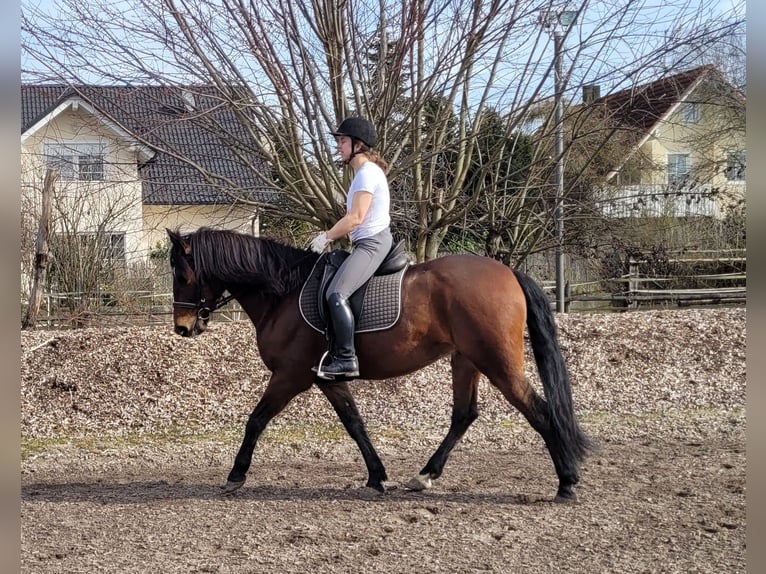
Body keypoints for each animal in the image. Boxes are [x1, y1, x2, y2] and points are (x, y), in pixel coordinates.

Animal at [171, 227, 596, 502]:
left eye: (183, 274)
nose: (182, 328)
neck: (283, 293)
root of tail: (507, 271)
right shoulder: (326, 377)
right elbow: (354, 423)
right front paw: (377, 476)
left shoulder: (289, 376)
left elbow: (256, 419)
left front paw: (235, 475)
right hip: (466, 359)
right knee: (464, 415)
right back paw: (424, 476)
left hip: (498, 363)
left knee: (539, 411)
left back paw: (567, 483)